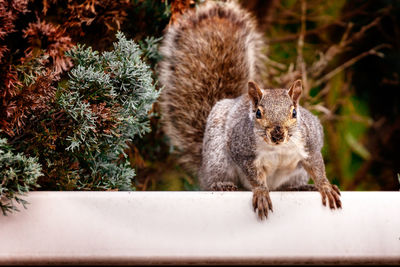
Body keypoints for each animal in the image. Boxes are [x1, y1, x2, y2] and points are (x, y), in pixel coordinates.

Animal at [156, 1, 340, 221]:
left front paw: (325, 186)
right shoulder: (242, 149)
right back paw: (221, 185)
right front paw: (260, 192)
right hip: (217, 157)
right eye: (258, 113)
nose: (277, 133)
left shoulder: (309, 144)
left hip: (295, 174)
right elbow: (254, 175)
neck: (277, 148)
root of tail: (203, 168)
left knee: (286, 186)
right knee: (217, 178)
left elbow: (317, 166)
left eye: (294, 113)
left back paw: (300, 187)